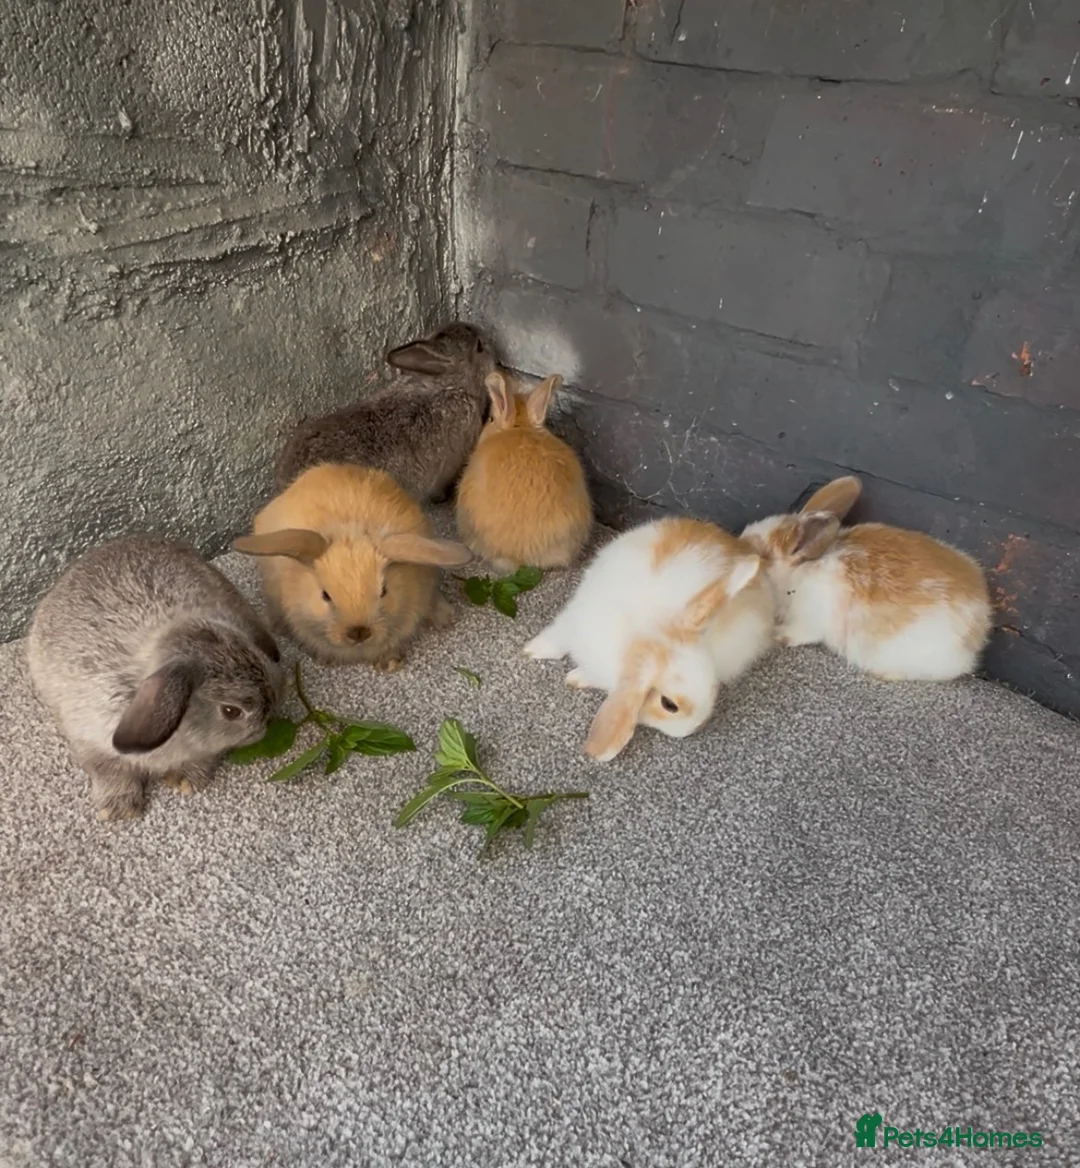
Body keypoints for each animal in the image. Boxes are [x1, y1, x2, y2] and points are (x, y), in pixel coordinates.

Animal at [26, 535, 285, 823]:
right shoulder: (91, 739)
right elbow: (110, 770)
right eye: (231, 711)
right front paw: (120, 809)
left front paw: (185, 781)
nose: (265, 724)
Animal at [525, 517, 775, 761]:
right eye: (669, 705)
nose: (694, 728)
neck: (647, 636)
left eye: (713, 685)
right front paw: (531, 650)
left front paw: (576, 678)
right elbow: (557, 639)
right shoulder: (574, 621)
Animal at [740, 475, 993, 681]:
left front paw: (776, 635)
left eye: (761, 553)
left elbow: (799, 633)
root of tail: (978, 627)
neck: (797, 575)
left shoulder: (810, 619)